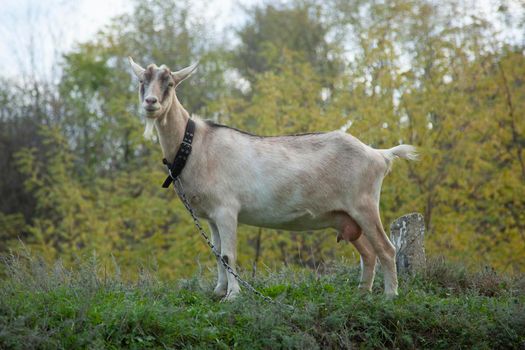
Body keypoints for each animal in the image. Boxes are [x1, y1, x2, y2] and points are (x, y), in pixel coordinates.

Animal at [130, 58, 418, 300]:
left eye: (170, 84)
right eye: (142, 82)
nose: (151, 102)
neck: (195, 145)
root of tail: (379, 155)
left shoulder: (226, 209)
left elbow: (228, 254)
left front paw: (233, 296)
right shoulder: (211, 217)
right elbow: (217, 254)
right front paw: (218, 291)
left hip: (364, 206)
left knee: (386, 249)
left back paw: (390, 296)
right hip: (345, 216)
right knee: (368, 253)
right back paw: (362, 293)